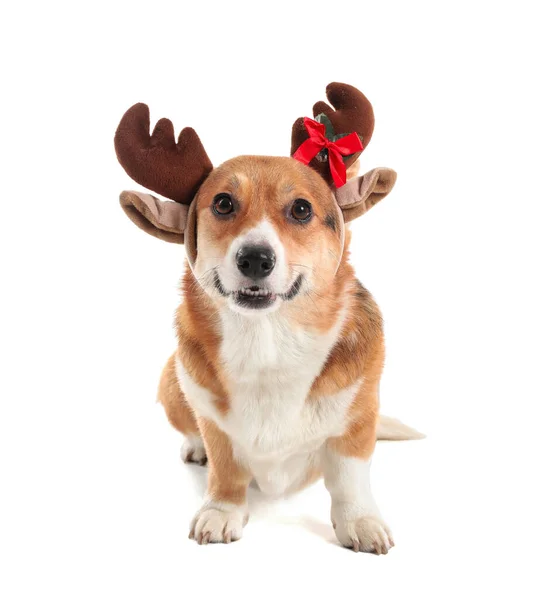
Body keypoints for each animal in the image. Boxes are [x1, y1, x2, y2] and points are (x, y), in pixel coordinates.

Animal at [116, 82, 422, 552]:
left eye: (301, 209)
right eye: (223, 203)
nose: (256, 259)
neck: (266, 342)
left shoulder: (356, 421)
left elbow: (350, 478)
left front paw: (361, 522)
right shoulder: (216, 426)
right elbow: (225, 470)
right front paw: (220, 511)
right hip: (170, 379)